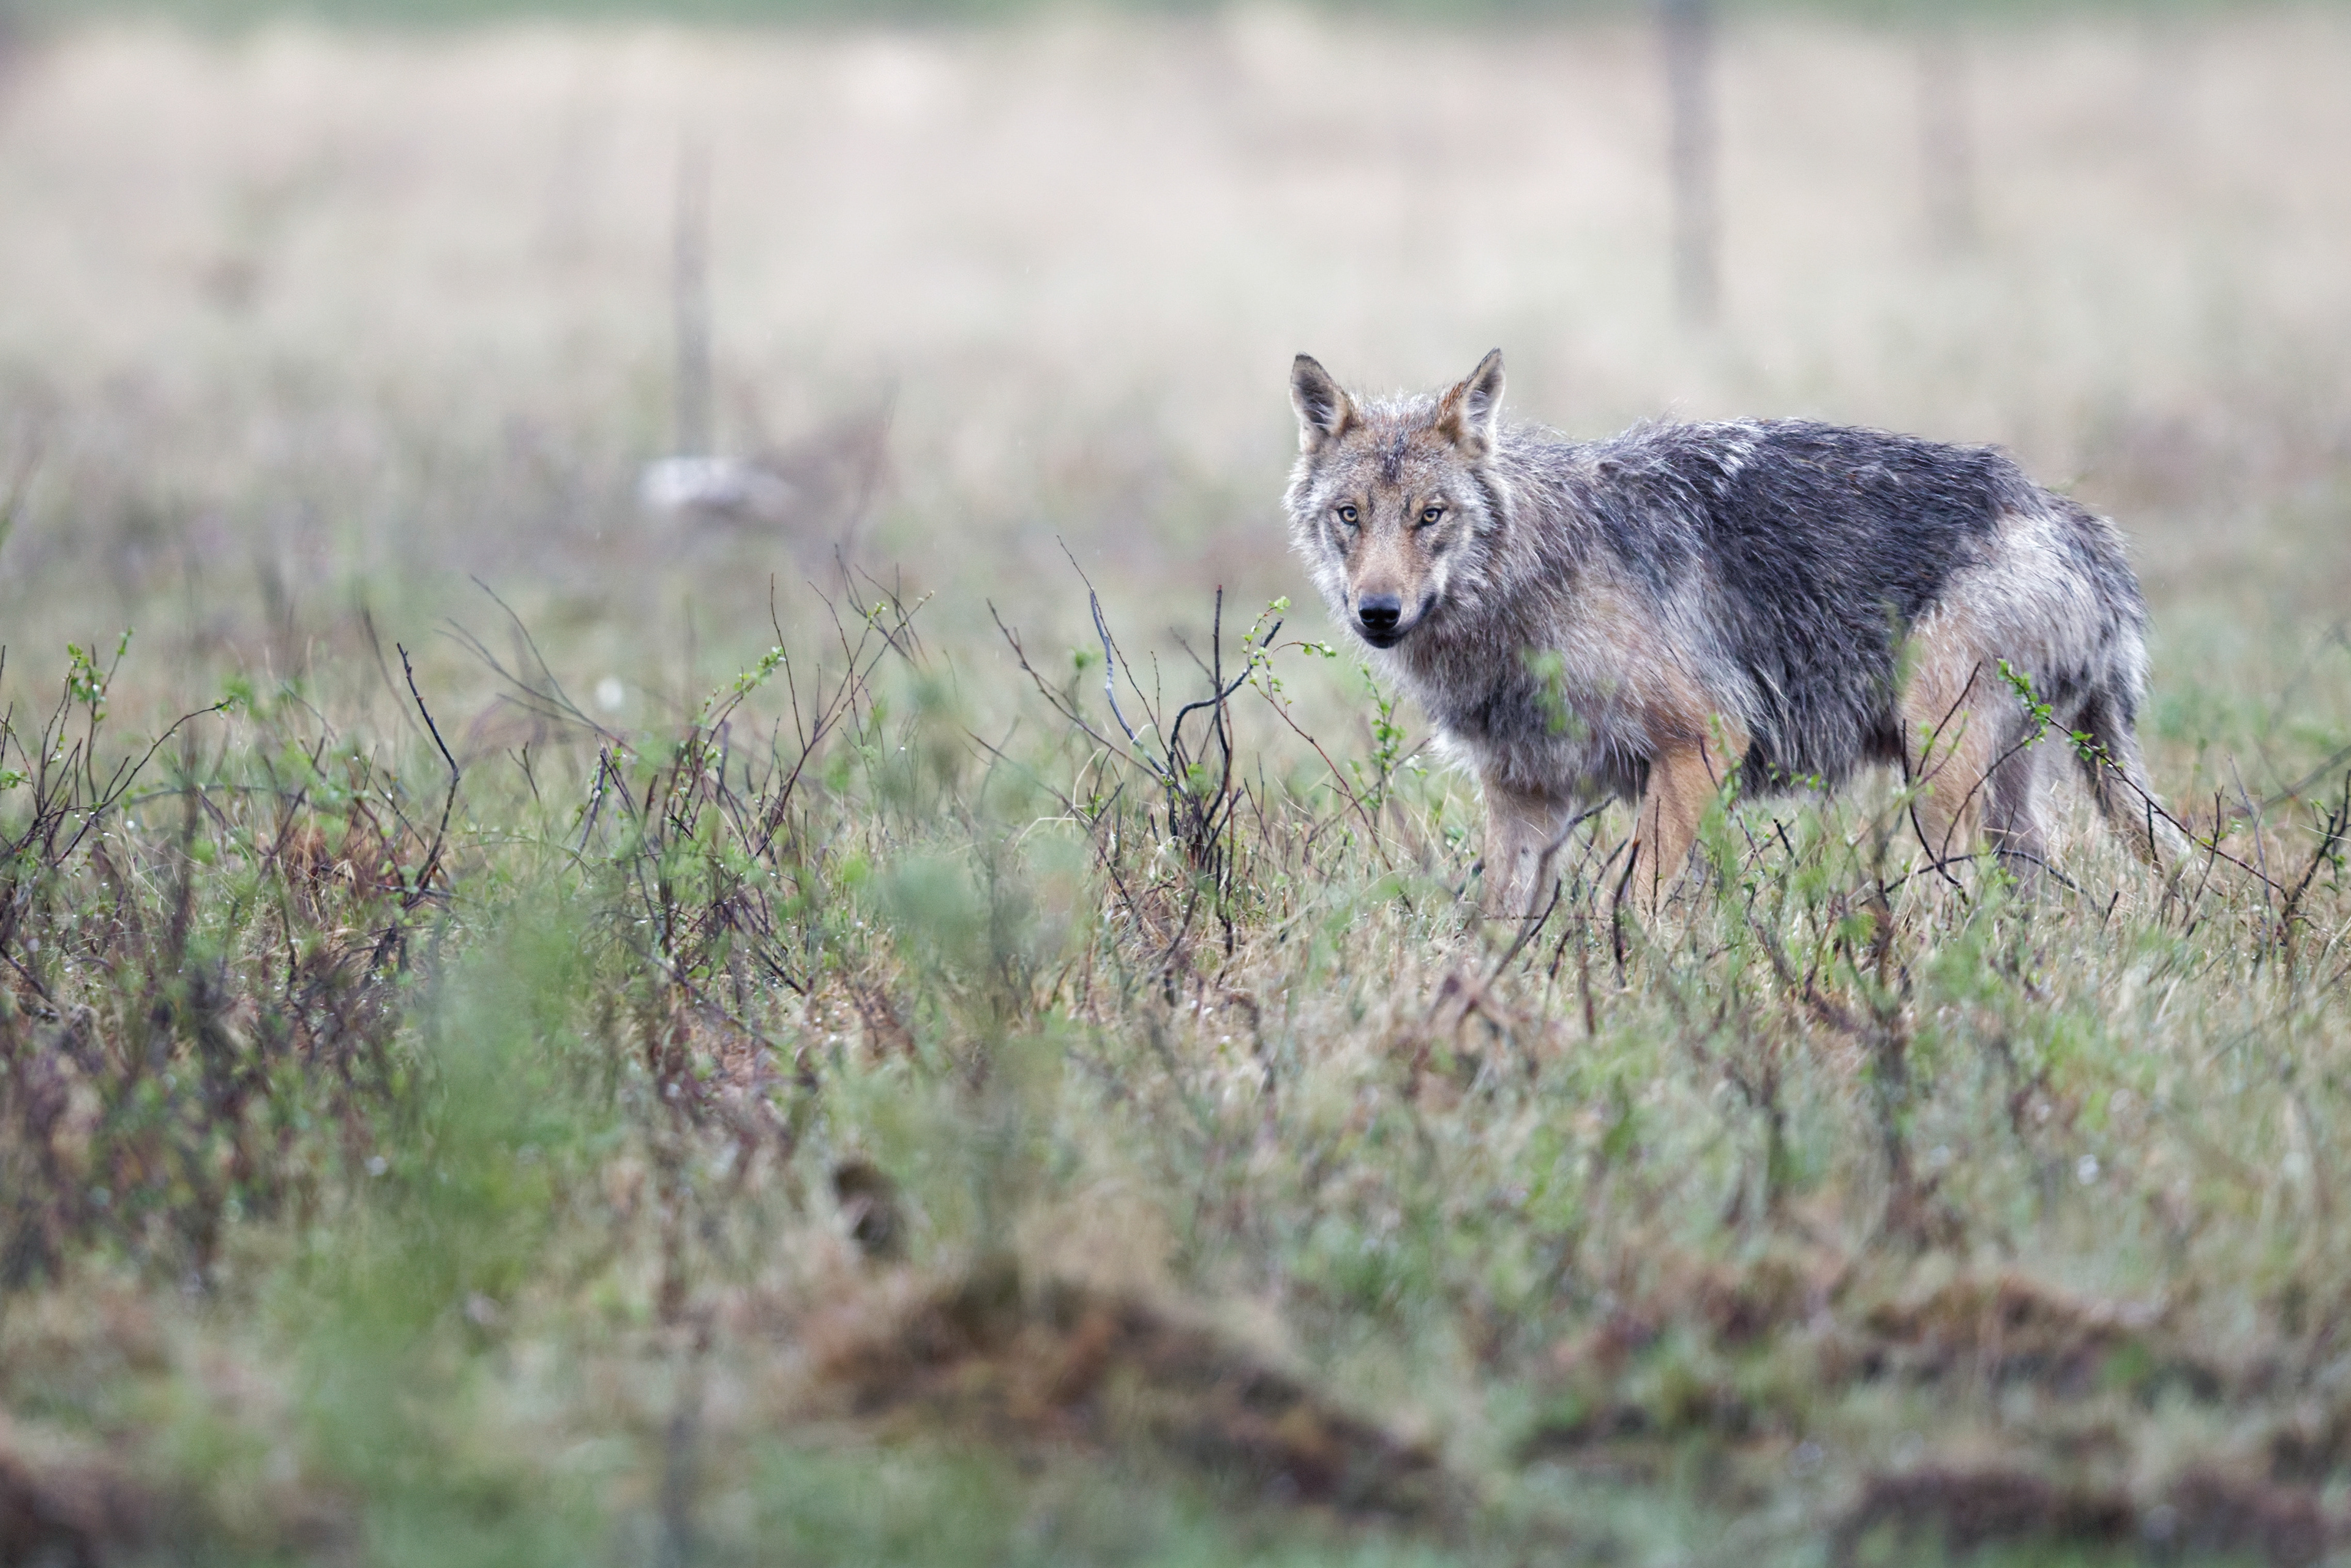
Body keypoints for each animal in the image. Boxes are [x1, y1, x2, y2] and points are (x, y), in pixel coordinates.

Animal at [1284, 349, 2178, 919]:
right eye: (1351, 516)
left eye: (1430, 515)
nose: (1377, 612)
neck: (1530, 579)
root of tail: (2071, 519)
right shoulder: (1525, 795)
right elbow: (1493, 927)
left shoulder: (1706, 740)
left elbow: (1637, 903)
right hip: (1999, 796)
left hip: (1939, 775)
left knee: (1972, 900)